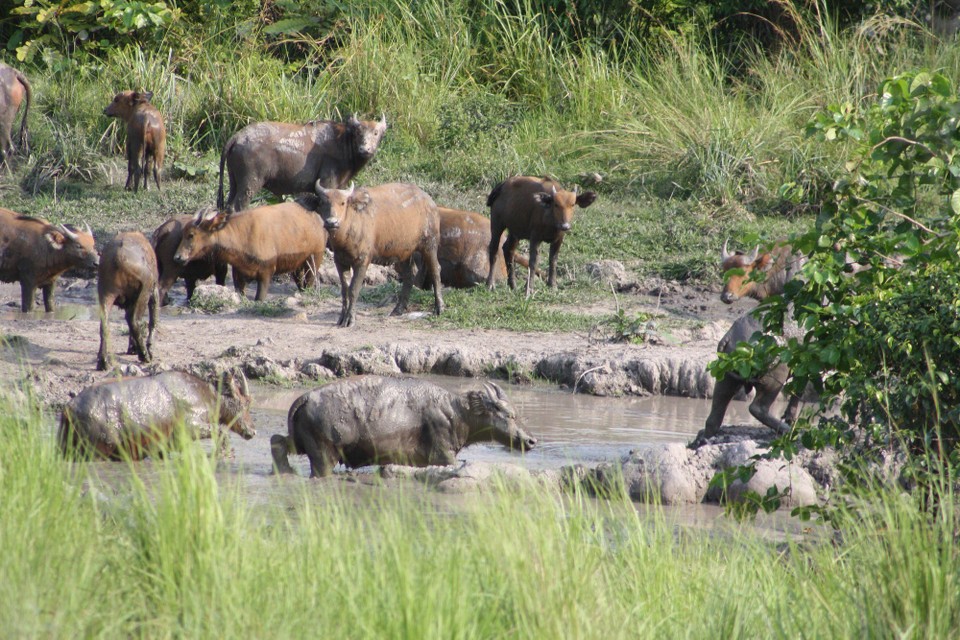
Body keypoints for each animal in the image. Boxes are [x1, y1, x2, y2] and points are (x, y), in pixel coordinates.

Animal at [175, 201, 330, 302]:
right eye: (183, 233)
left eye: (191, 234)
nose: (177, 257)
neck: (243, 236)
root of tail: (318, 219)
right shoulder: (238, 274)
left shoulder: (266, 273)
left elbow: (259, 299)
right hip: (297, 266)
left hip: (314, 259)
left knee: (309, 281)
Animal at [219, 115, 388, 212]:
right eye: (358, 133)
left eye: (375, 133)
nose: (364, 149)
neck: (342, 142)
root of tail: (238, 136)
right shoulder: (327, 184)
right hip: (250, 185)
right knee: (237, 207)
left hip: (234, 183)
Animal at [274, 378, 536, 478]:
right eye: (509, 414)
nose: (531, 440)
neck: (455, 412)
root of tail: (306, 398)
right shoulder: (443, 455)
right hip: (323, 458)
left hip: (299, 444)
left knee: (276, 441)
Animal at [314, 182, 444, 328]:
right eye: (324, 203)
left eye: (343, 202)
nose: (332, 222)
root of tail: (429, 201)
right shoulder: (340, 261)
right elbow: (344, 290)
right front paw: (342, 318)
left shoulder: (362, 261)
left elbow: (354, 290)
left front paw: (350, 319)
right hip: (403, 253)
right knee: (409, 276)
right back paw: (398, 309)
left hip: (430, 244)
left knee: (435, 270)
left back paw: (439, 308)